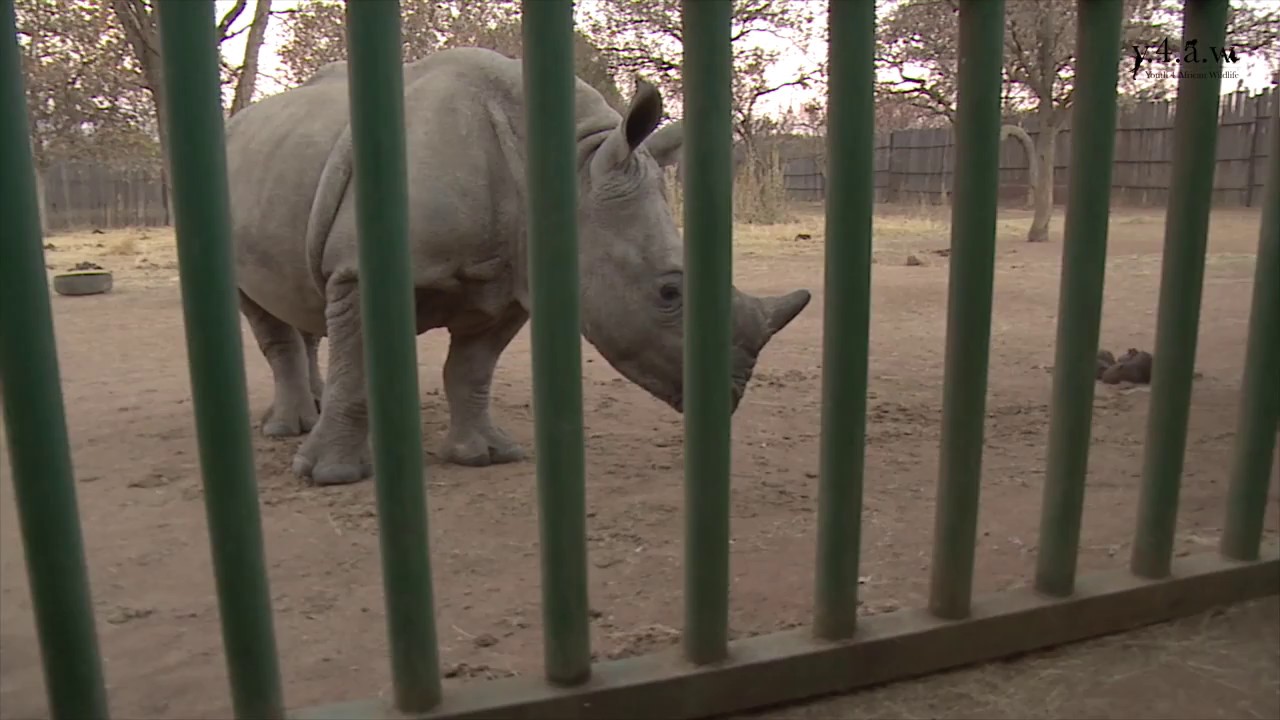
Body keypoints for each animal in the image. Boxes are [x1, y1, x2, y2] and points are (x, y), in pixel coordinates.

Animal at [224, 47, 811, 486]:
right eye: (669, 293)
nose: (729, 397)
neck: (566, 170)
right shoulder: (360, 271)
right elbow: (358, 370)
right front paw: (329, 476)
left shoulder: (510, 282)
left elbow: (471, 369)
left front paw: (484, 456)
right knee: (263, 311)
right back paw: (290, 429)